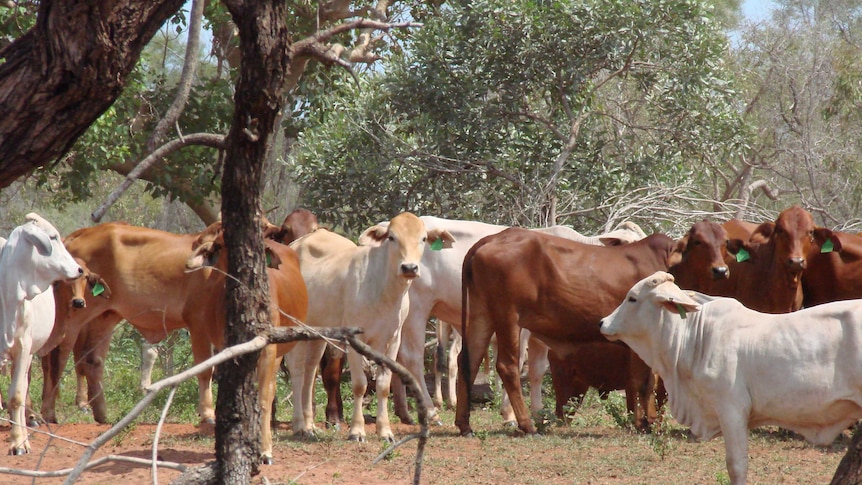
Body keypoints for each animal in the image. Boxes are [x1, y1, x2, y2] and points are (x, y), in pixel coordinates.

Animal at [0, 214, 82, 456]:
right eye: (53, 237)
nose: (78, 269)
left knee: (21, 391)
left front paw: (18, 443)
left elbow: (16, 396)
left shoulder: (24, 348)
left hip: (28, 355)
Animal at [286, 212, 460, 442]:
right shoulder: (353, 339)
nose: (409, 268)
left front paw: (385, 431)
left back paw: (310, 425)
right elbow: (360, 384)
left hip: (317, 332)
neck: (384, 291)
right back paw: (299, 425)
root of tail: (296, 244)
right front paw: (357, 430)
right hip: (298, 325)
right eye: (392, 237)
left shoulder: (392, 340)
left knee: (310, 370)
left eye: (423, 239)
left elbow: (384, 385)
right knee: (297, 370)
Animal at [456, 222, 732, 434]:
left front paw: (645, 421)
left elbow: (643, 381)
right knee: (508, 366)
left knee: (468, 360)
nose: (721, 270)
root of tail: (490, 239)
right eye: (698, 242)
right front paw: (645, 422)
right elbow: (643, 381)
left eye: (724, 242)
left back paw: (465, 425)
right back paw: (527, 425)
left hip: (481, 314)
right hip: (508, 317)